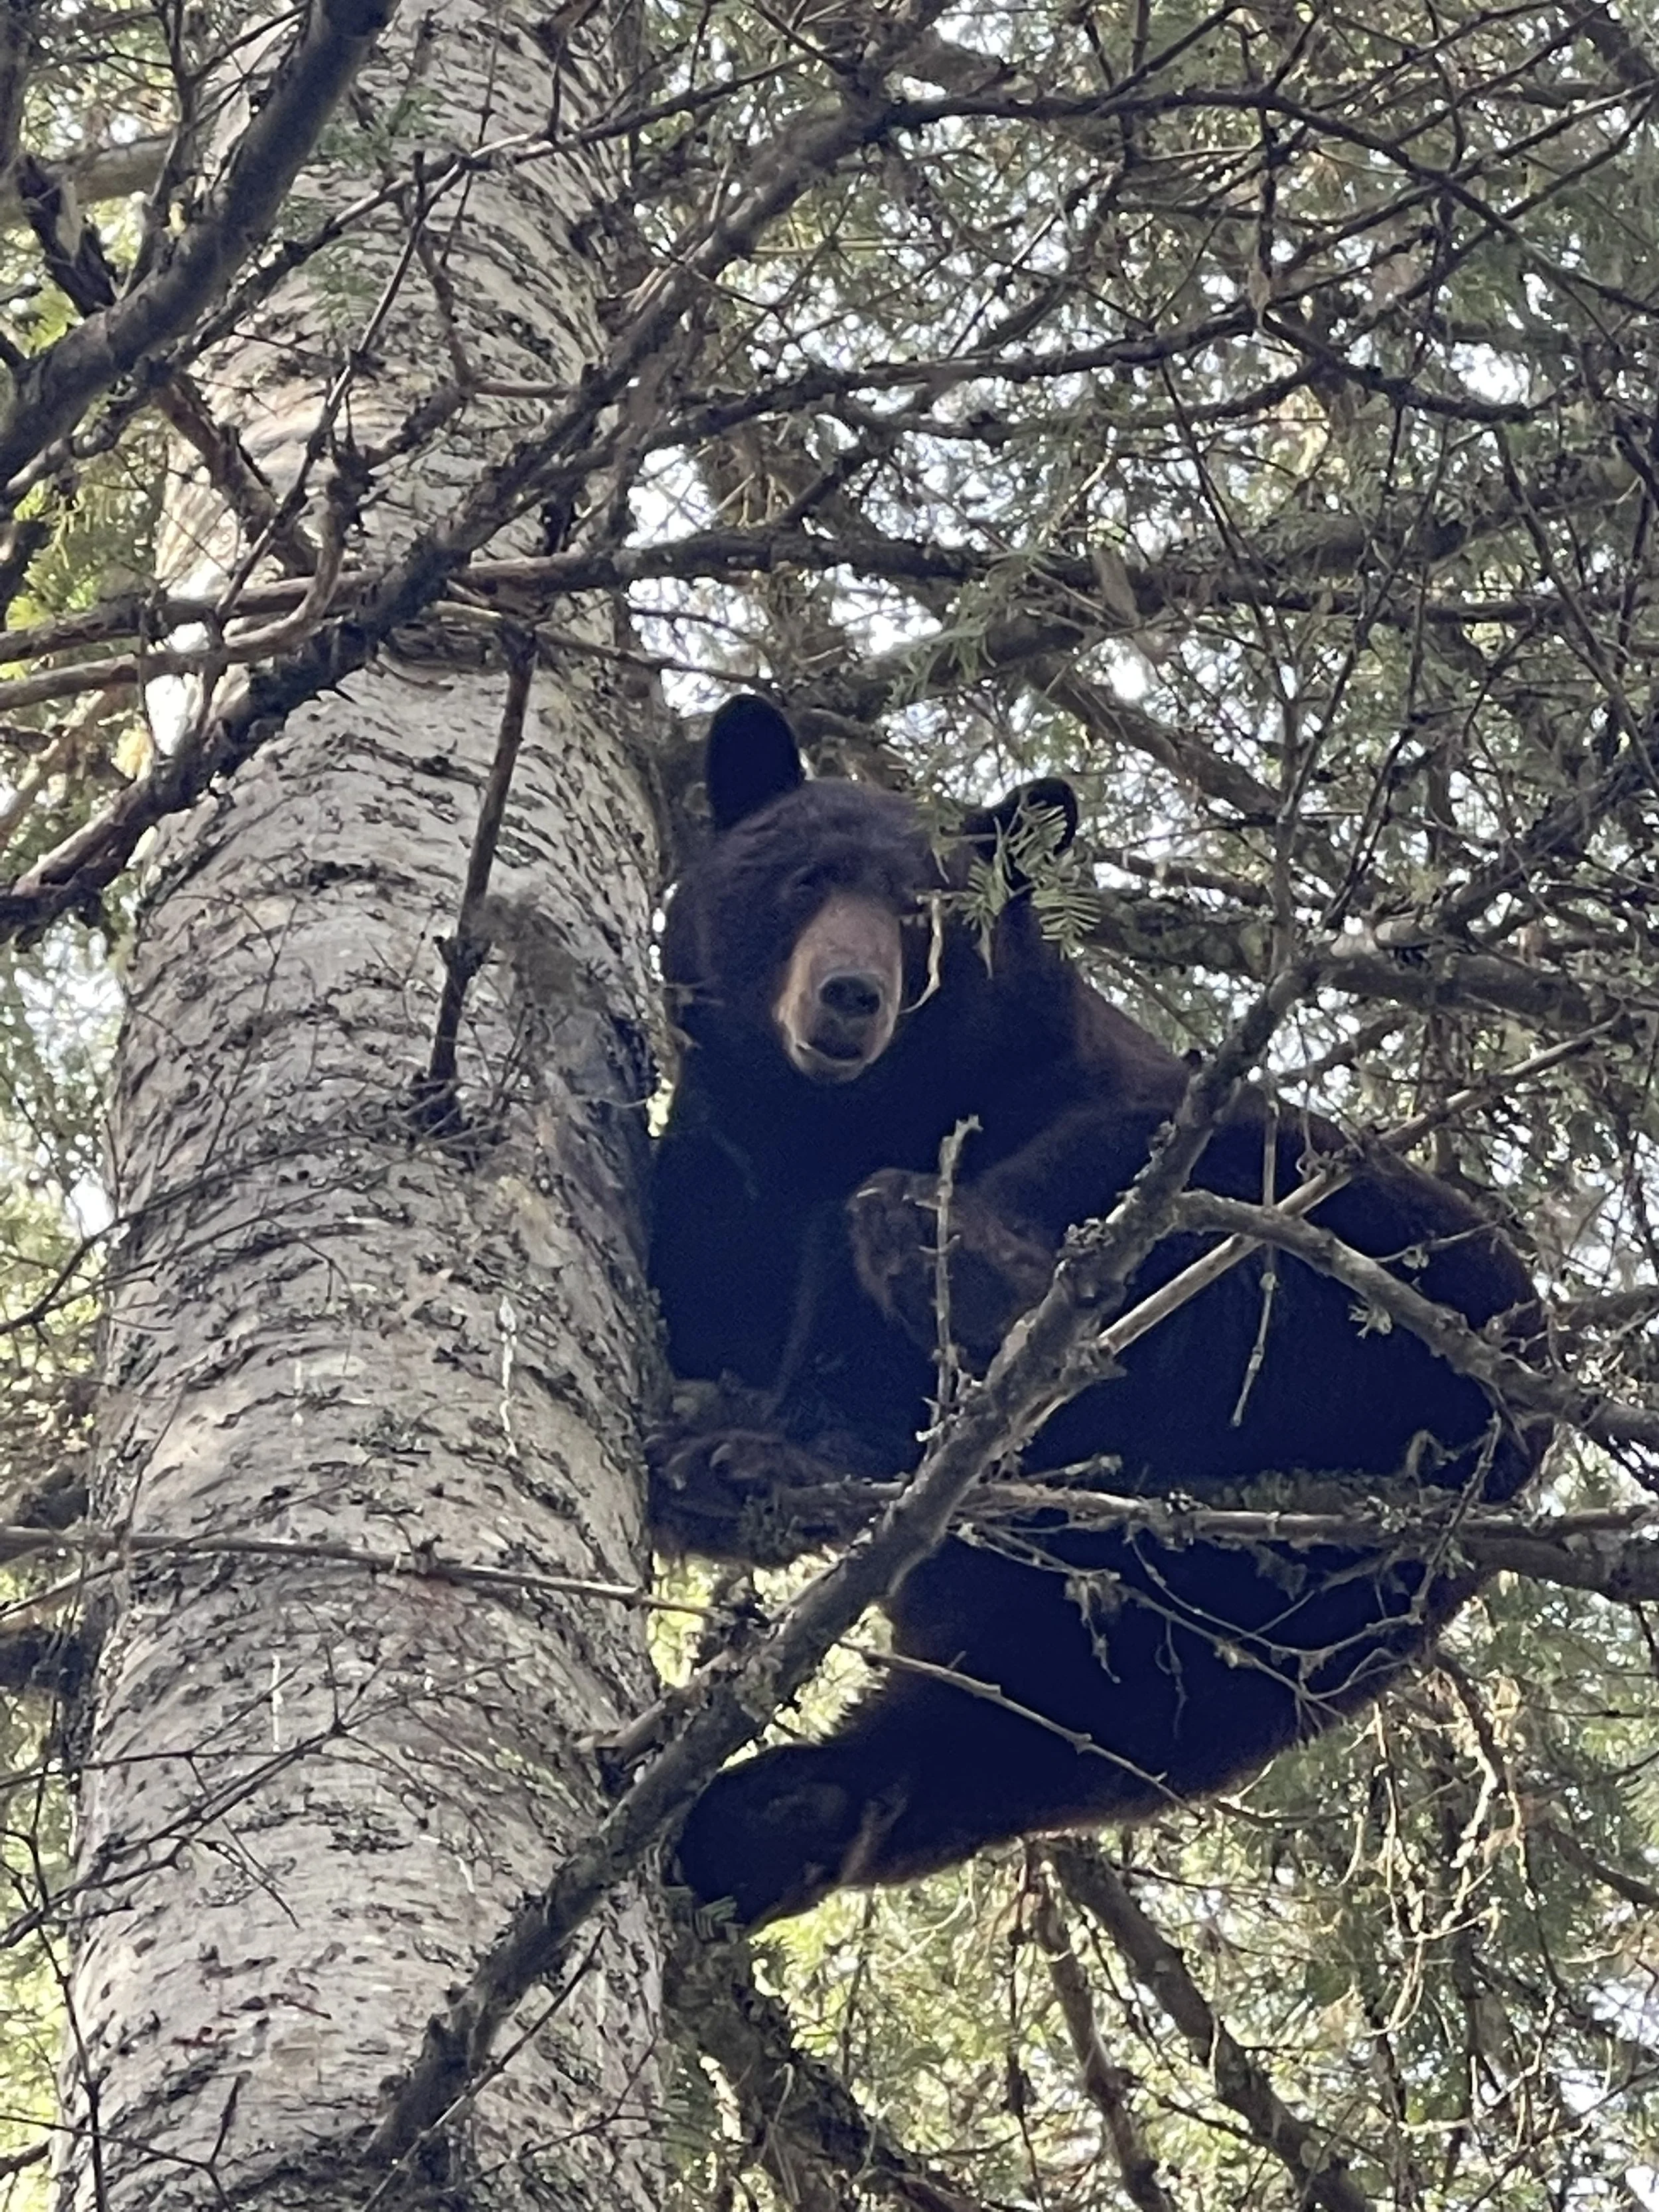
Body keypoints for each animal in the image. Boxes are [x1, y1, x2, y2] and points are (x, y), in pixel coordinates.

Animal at [650, 694, 1544, 1928]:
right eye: (805, 877)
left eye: (926, 914)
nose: (850, 996)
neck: (836, 1121)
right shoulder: (725, 1183)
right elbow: (695, 1290)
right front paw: (704, 1453)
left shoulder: (1047, 1081)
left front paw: (760, 1447)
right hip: (1196, 1661)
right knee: (1012, 1733)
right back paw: (759, 1824)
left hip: (1410, 1289)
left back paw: (946, 1254)